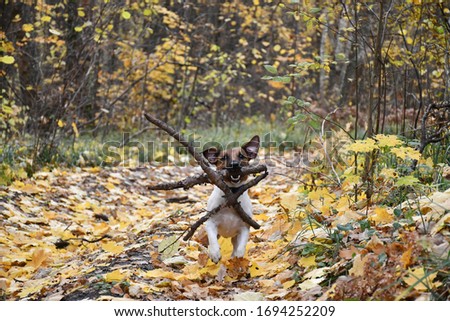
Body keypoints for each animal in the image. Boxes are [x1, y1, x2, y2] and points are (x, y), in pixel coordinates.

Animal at [203, 134, 262, 262]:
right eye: (224, 158)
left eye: (241, 156)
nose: (234, 164)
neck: (232, 194)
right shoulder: (210, 223)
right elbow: (212, 240)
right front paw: (215, 254)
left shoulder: (245, 227)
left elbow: (241, 246)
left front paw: (238, 257)